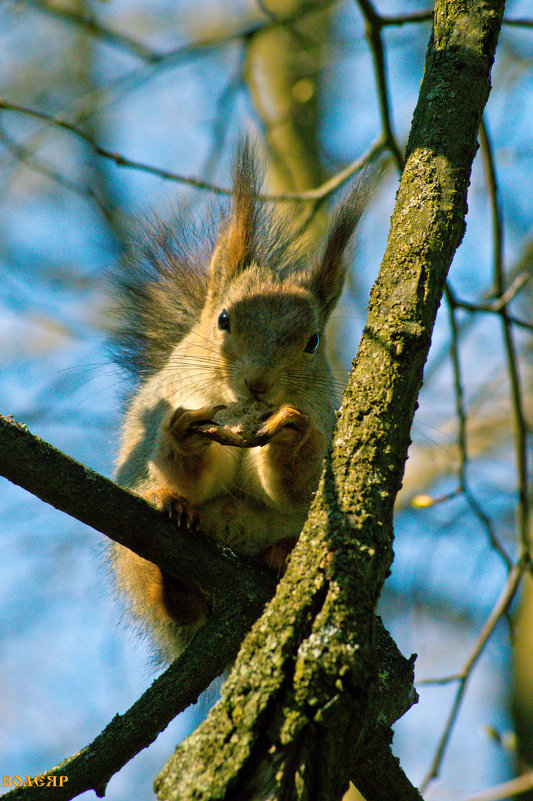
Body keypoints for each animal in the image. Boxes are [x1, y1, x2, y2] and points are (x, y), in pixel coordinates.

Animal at [108, 141, 366, 660]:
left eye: (313, 341)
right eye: (223, 319)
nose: (258, 383)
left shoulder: (328, 427)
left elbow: (298, 487)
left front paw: (292, 433)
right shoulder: (165, 408)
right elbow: (190, 471)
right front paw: (184, 438)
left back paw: (280, 554)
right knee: (172, 603)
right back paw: (173, 567)